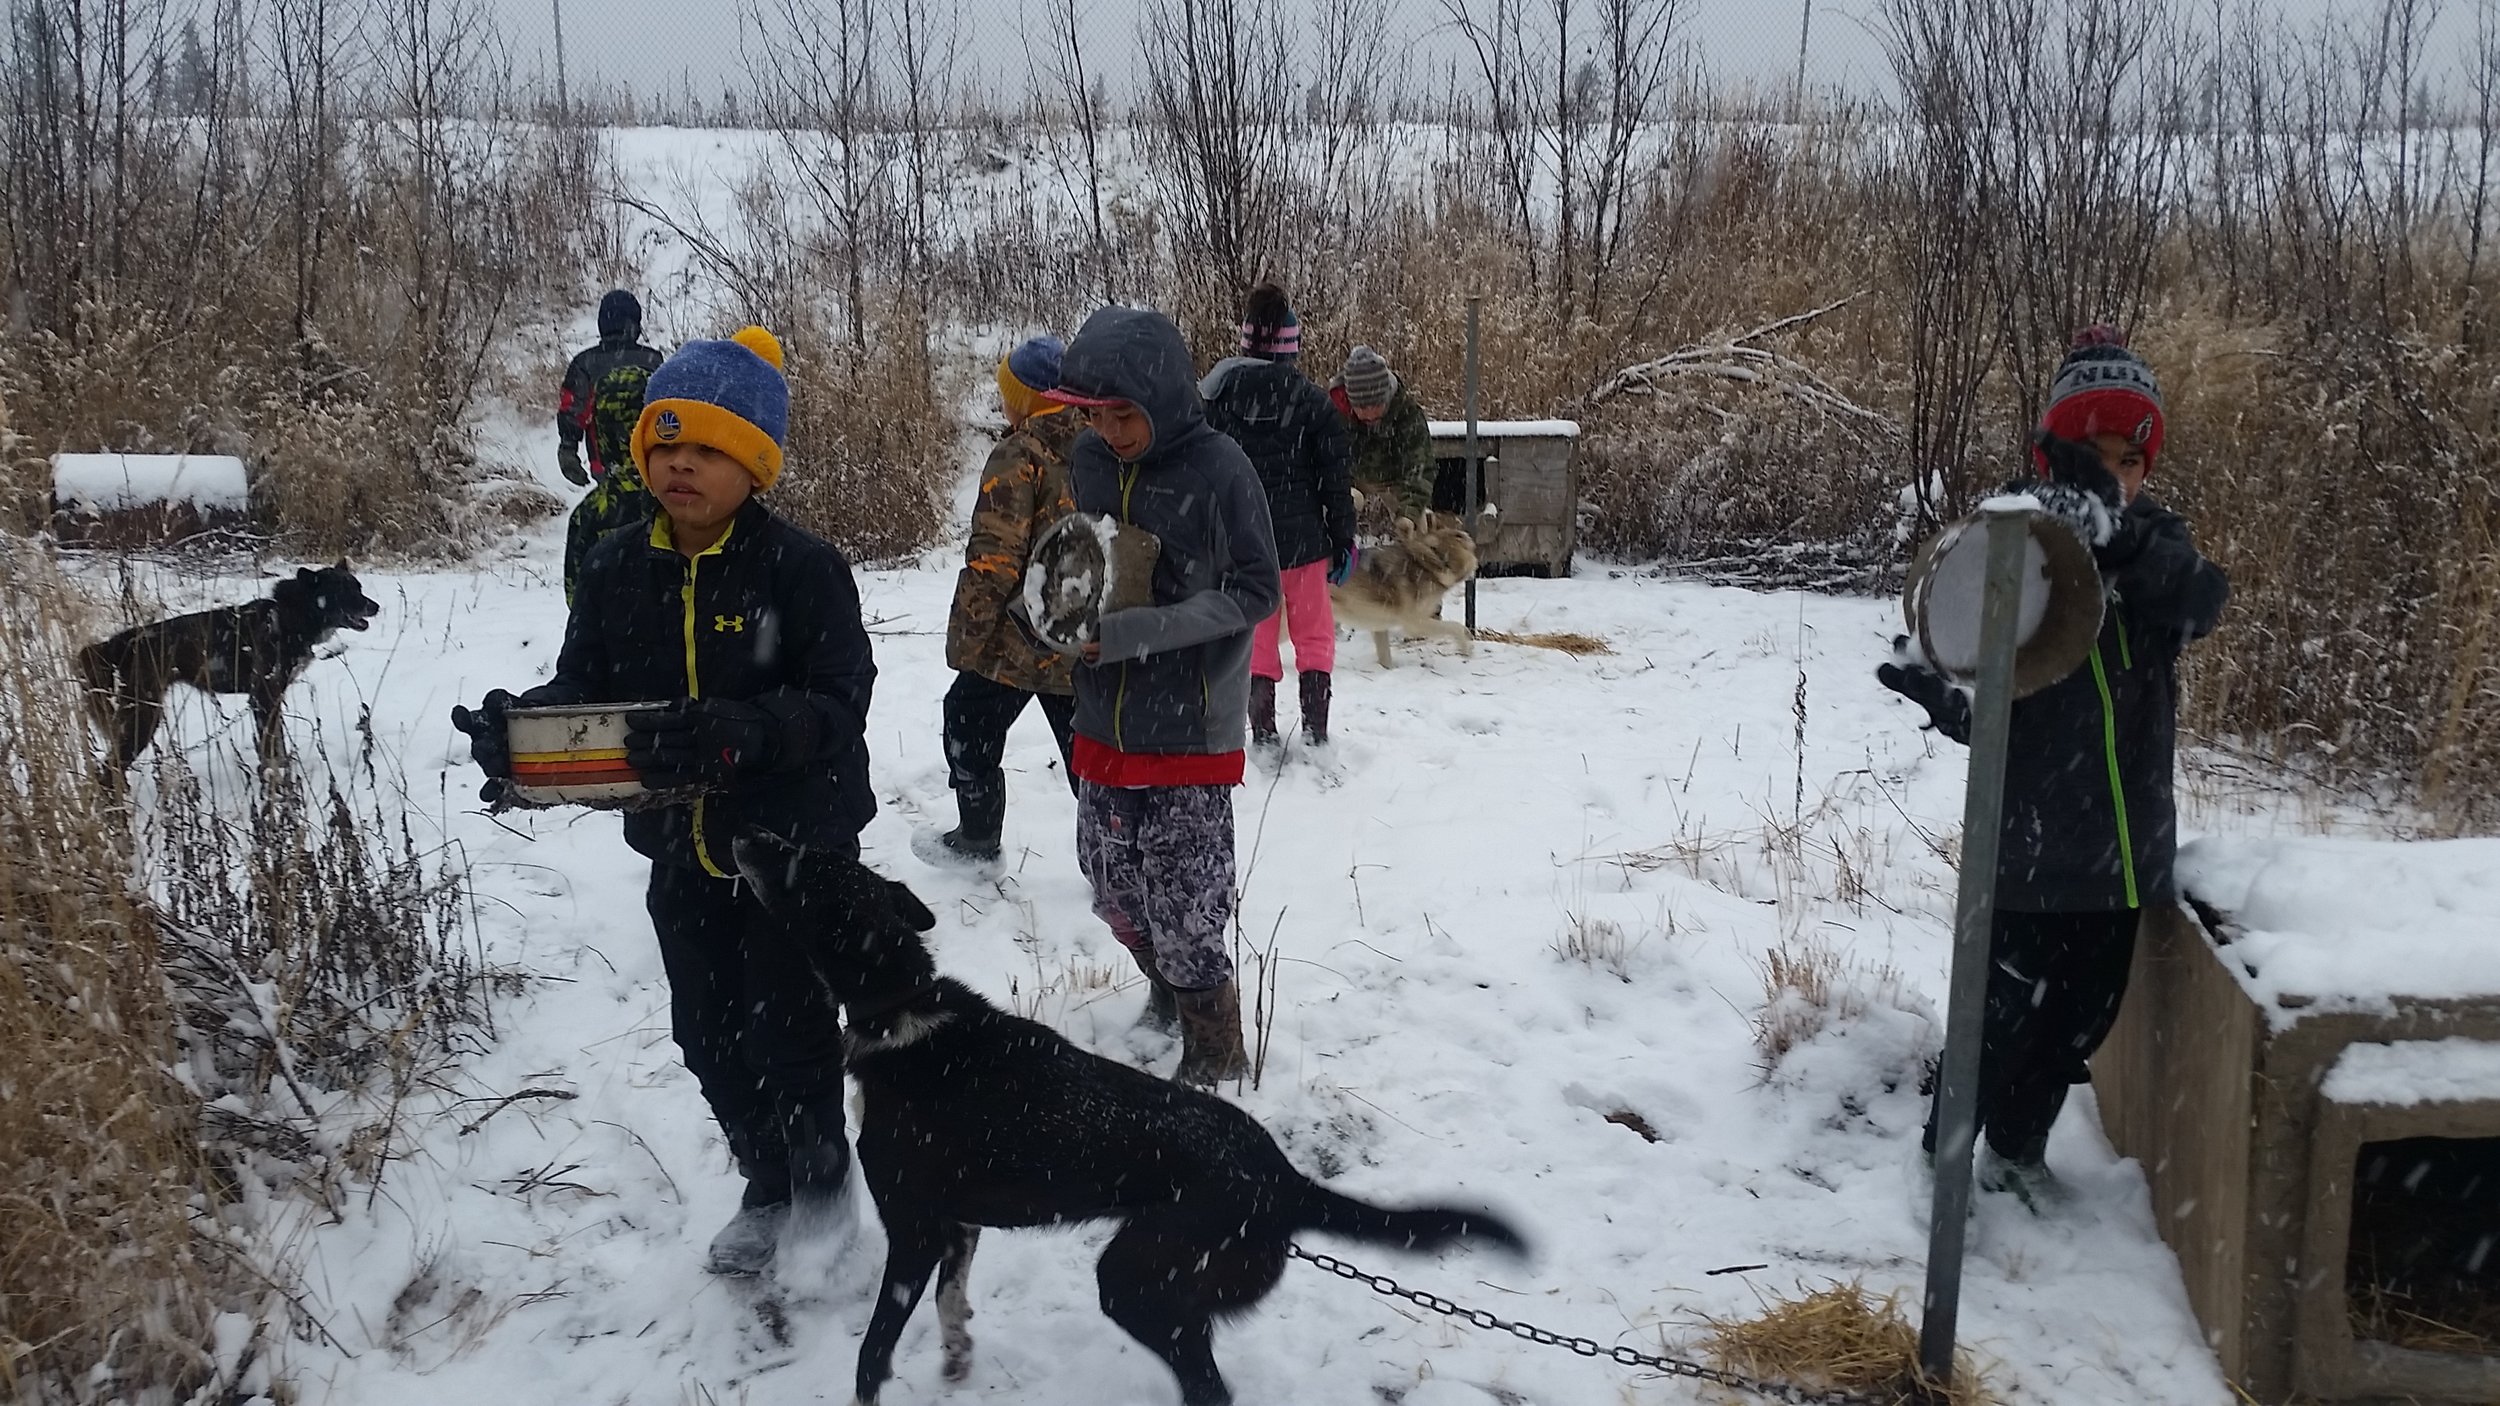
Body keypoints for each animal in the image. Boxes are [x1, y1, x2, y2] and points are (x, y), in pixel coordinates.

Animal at [78, 560, 377, 770]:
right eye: (341, 591)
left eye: (358, 587)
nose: (375, 606)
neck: (288, 615)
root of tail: (119, 642)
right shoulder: (264, 696)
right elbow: (270, 746)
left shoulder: (269, 699)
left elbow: (276, 743)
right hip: (143, 716)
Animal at [730, 835, 1530, 1400]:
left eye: (802, 863)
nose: (742, 831)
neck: (902, 1012)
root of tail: (1284, 1179)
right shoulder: (957, 1228)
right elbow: (952, 1309)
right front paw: (956, 1363)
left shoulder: (915, 1231)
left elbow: (872, 1353)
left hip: (1134, 1280)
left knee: (1208, 1388)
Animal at [1330, 507, 1480, 665]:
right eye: (1458, 535)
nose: (1469, 537)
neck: (1428, 563)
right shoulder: (1414, 623)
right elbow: (1456, 627)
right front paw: (1467, 651)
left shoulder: (1380, 627)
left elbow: (1386, 660)